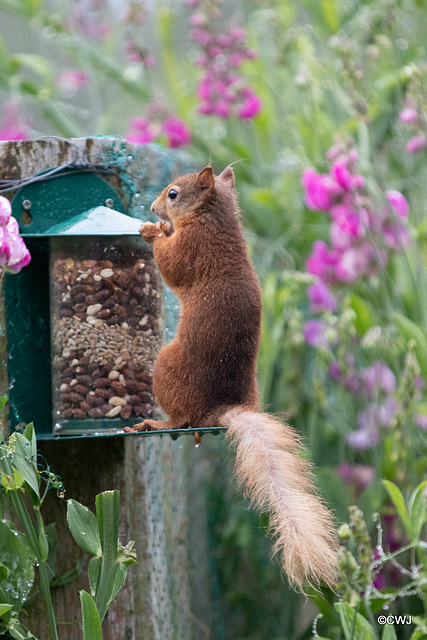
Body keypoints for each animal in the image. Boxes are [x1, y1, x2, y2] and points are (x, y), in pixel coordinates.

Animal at [129, 165, 340, 592]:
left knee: (181, 418)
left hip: (166, 368)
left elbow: (170, 264)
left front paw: (153, 230)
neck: (216, 220)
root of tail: (221, 408)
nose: (155, 208)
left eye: (173, 194)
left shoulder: (193, 248)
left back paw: (156, 422)